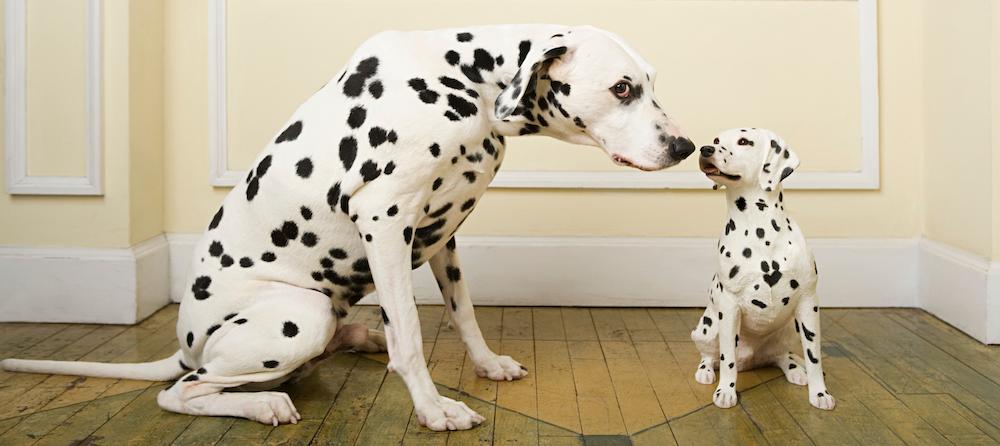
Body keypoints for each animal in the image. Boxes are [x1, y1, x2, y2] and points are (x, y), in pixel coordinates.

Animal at [1, 25, 696, 432]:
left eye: (650, 83)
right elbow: (411, 338)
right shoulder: (385, 221)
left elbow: (464, 313)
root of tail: (186, 342)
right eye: (623, 88)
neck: (465, 79)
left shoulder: (443, 237)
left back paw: (357, 336)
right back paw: (262, 402)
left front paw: (487, 364)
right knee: (183, 392)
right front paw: (434, 409)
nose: (685, 147)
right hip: (297, 315)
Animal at [688, 127, 836, 410]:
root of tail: (751, 360)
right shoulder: (729, 307)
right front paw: (726, 390)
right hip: (706, 328)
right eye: (716, 140)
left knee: (782, 356)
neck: (760, 227)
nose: (705, 149)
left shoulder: (808, 302)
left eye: (744, 141)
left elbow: (814, 357)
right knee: (709, 355)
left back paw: (795, 370)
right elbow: (726, 358)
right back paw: (706, 371)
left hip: (790, 328)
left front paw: (820, 393)